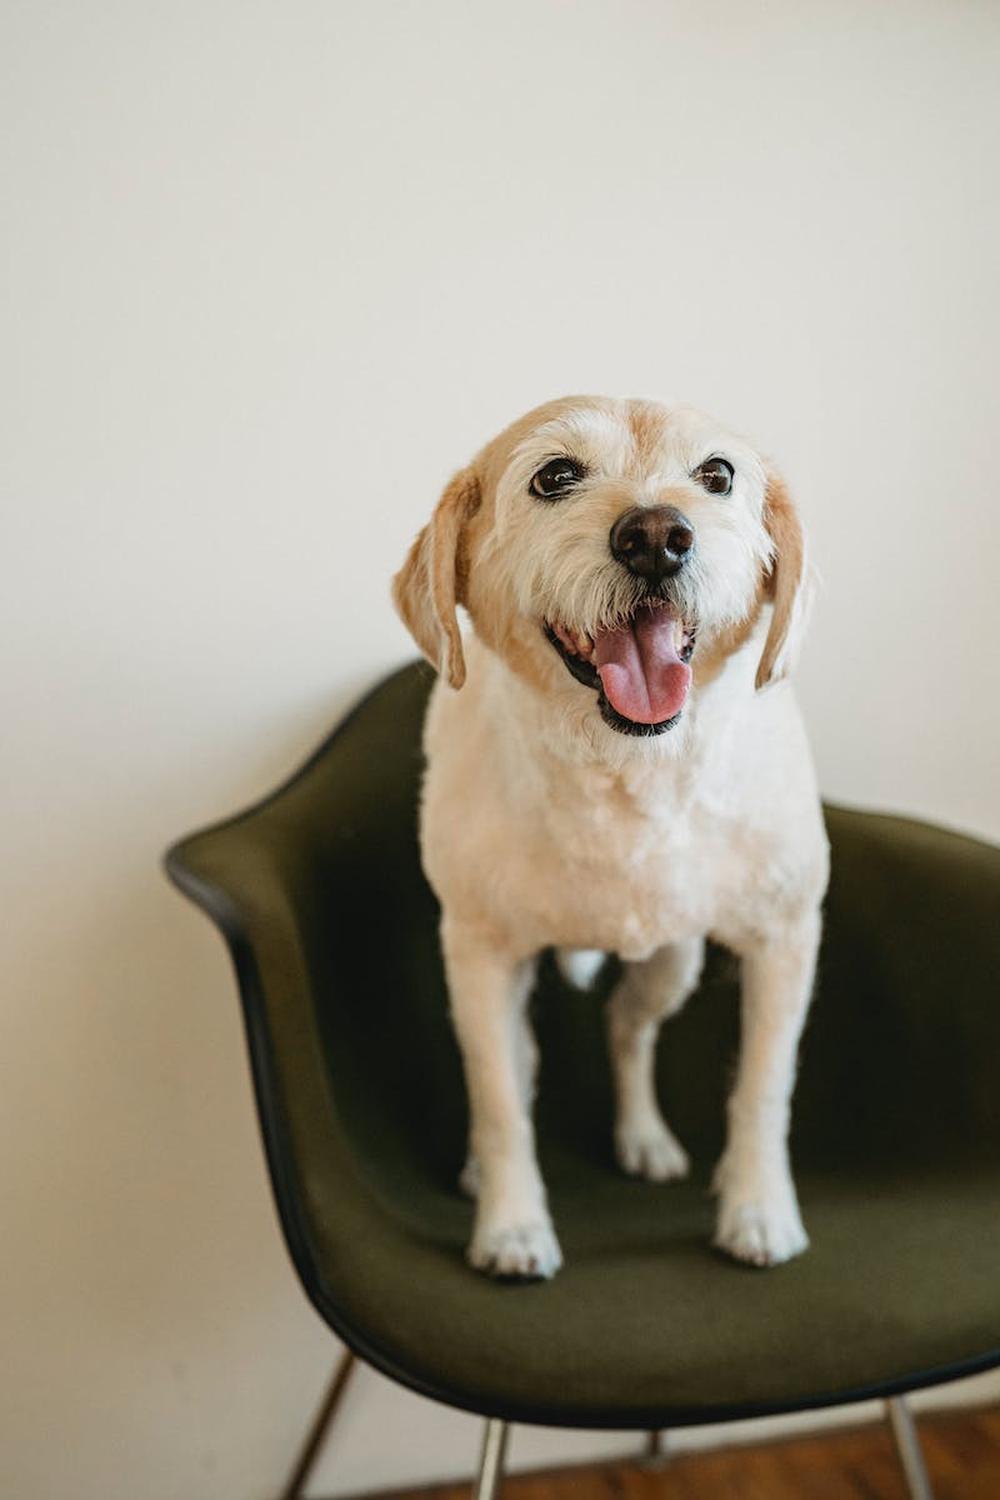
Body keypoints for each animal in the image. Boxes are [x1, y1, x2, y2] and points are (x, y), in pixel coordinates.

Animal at [389, 396, 827, 1278]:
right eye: (555, 475)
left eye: (718, 474)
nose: (656, 535)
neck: (628, 777)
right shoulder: (479, 952)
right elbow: (498, 1100)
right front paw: (511, 1225)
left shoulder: (786, 938)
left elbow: (764, 1087)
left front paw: (759, 1211)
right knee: (519, 1063)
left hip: (673, 962)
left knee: (628, 1025)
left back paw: (644, 1138)